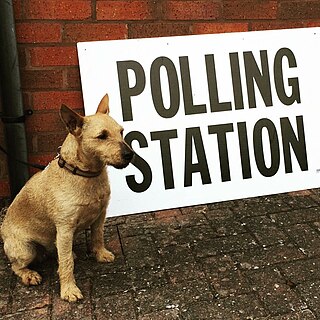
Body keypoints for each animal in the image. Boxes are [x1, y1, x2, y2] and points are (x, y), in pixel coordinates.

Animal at [0, 94, 133, 302]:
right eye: (102, 136)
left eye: (121, 132)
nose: (130, 154)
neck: (84, 174)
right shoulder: (64, 227)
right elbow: (66, 263)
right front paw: (69, 289)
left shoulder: (100, 215)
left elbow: (97, 237)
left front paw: (100, 254)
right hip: (25, 249)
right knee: (16, 266)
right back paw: (29, 274)